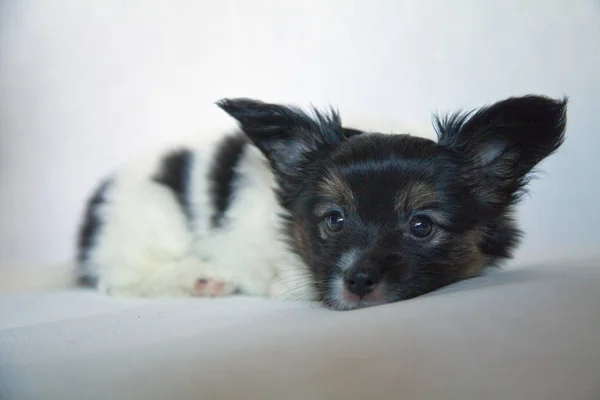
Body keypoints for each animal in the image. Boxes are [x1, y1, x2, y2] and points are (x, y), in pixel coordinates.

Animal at [78, 94, 568, 310]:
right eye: (334, 220)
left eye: (421, 225)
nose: (358, 280)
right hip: (150, 220)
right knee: (119, 280)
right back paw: (200, 279)